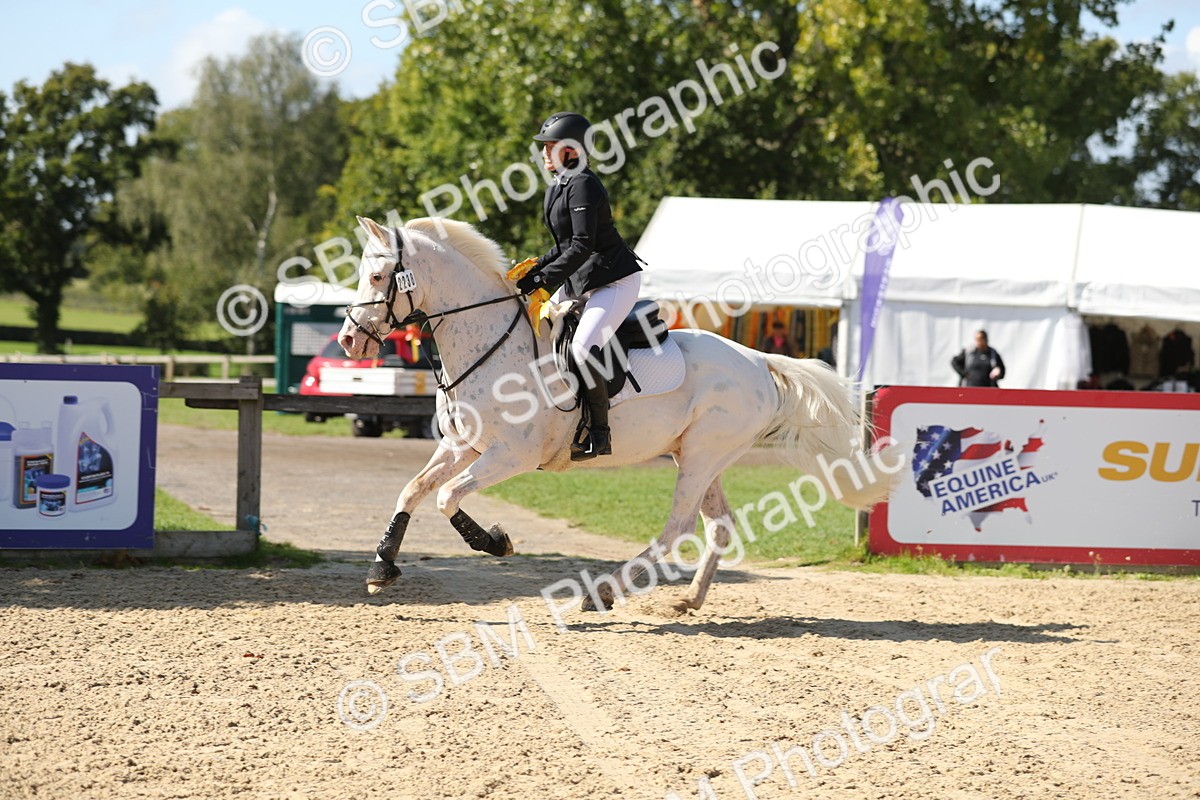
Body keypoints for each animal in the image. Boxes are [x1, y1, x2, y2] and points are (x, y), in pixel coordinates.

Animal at [338, 215, 898, 613]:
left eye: (378, 275)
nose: (348, 340)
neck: (489, 344)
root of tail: (759, 360)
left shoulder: (510, 455)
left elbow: (447, 497)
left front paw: (494, 542)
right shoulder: (461, 445)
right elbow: (413, 490)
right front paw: (382, 568)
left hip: (701, 455)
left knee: (678, 527)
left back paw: (604, 592)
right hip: (702, 456)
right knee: (718, 526)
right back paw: (688, 599)